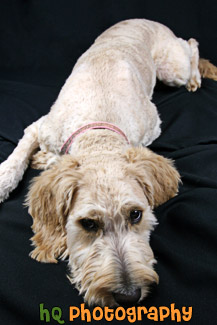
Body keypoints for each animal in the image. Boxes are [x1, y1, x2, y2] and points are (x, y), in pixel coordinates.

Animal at [0, 19, 217, 306]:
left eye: (136, 214)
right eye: (89, 224)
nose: (128, 295)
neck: (98, 129)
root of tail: (148, 20)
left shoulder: (152, 128)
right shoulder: (39, 126)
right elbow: (16, 159)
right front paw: (9, 176)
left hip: (173, 69)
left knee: (191, 44)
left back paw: (195, 76)